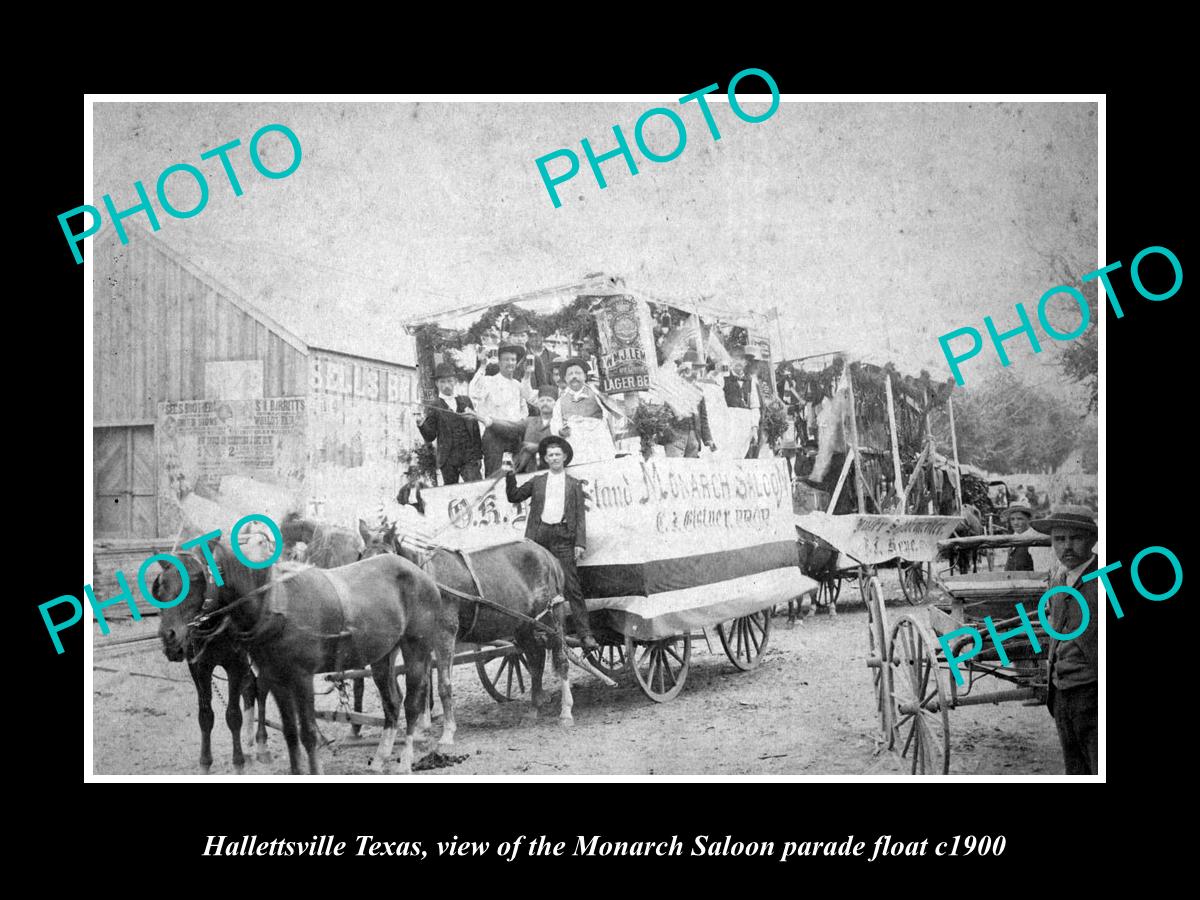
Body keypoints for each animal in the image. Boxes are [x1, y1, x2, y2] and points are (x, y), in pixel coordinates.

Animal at [156, 549, 268, 777]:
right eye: (162, 585)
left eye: (194, 581)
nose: (169, 637)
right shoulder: (199, 668)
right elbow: (205, 716)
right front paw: (205, 764)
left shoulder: (234, 665)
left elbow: (233, 715)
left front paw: (238, 763)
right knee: (250, 686)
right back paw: (249, 742)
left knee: (261, 688)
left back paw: (261, 745)